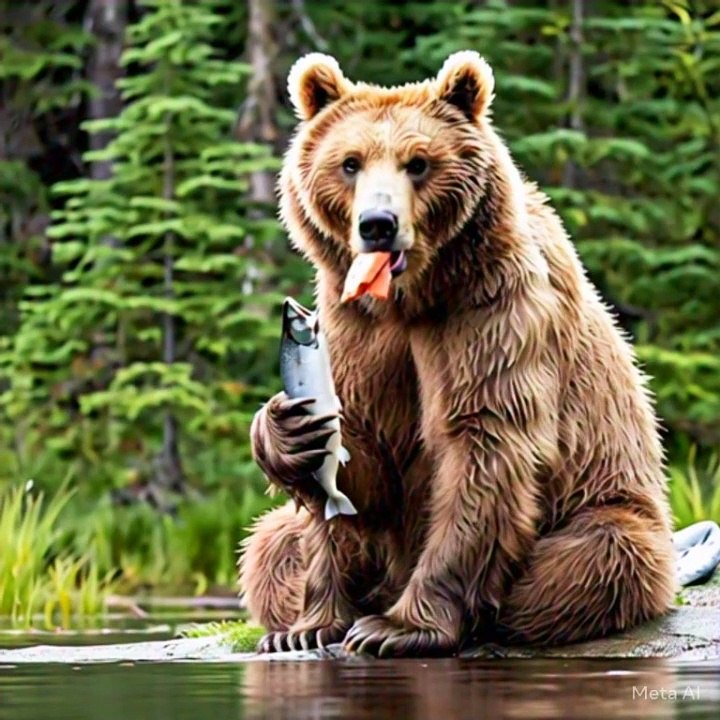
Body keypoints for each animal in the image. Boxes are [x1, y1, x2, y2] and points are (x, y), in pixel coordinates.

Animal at [238, 51, 676, 657]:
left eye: (418, 162)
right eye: (350, 163)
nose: (378, 226)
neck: (412, 297)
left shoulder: (492, 307)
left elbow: (483, 436)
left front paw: (397, 628)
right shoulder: (355, 326)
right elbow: (361, 457)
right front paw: (308, 625)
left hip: (615, 509)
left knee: (592, 560)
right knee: (269, 543)